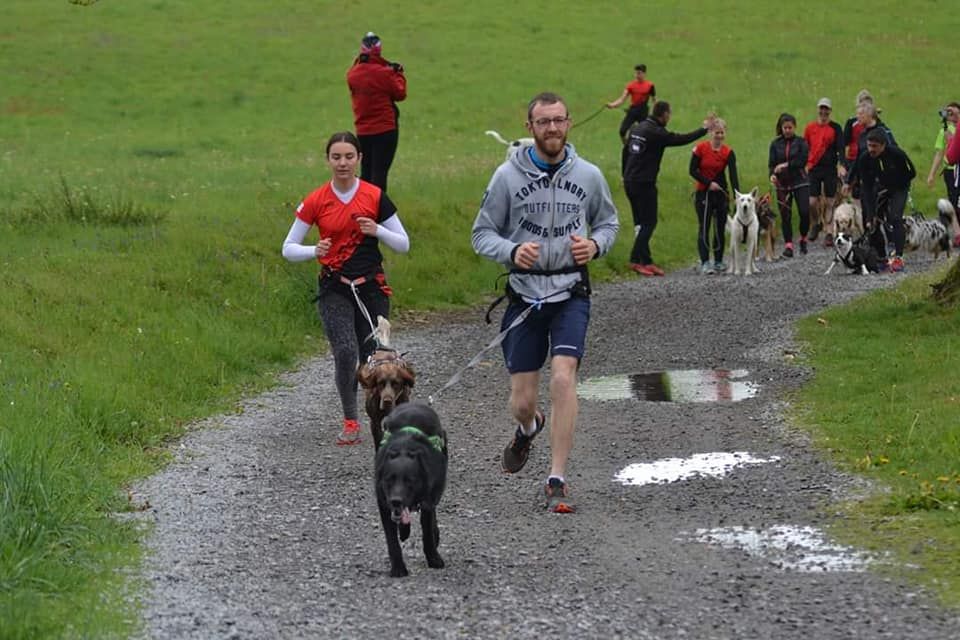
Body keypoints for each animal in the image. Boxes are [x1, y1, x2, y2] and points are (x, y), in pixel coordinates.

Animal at [376, 402, 450, 576]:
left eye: (410, 480)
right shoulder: (383, 503)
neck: (404, 449)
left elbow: (427, 533)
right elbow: (392, 540)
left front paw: (434, 559)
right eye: (389, 479)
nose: (396, 501)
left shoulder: (427, 501)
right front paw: (398, 568)